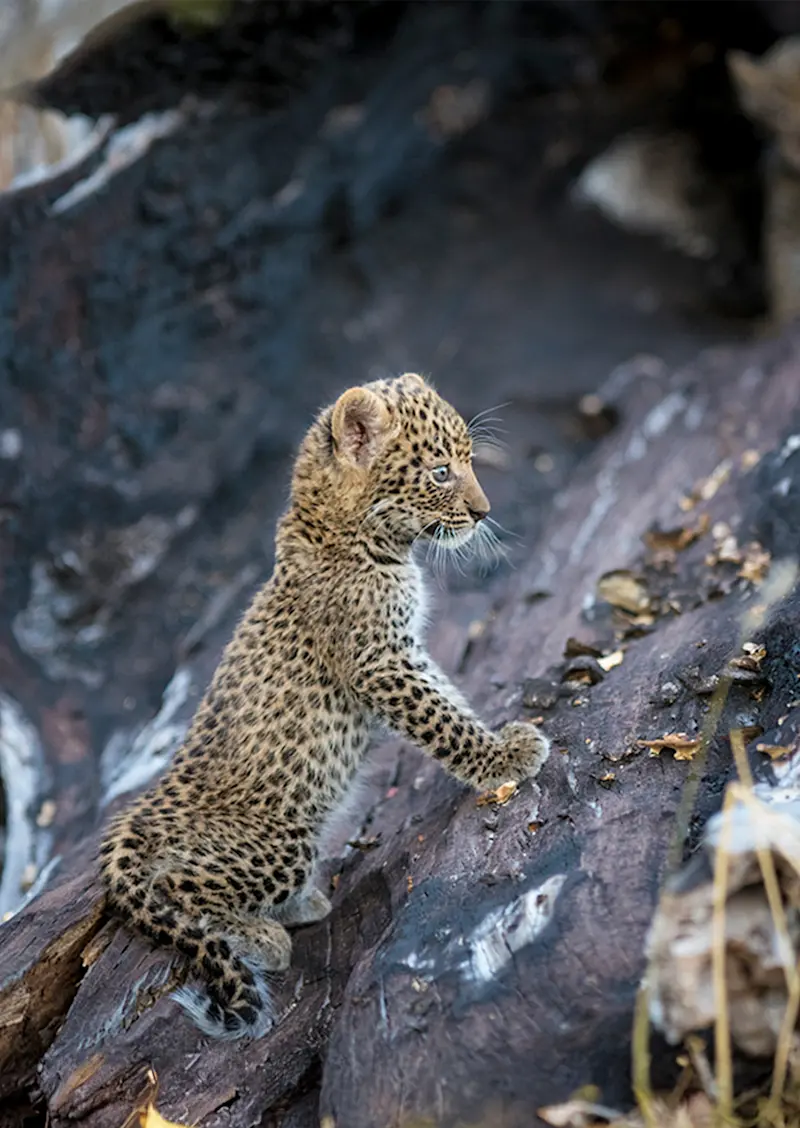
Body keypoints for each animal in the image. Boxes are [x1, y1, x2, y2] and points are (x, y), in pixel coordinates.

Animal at [100, 372, 550, 1041]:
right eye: (441, 471)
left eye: (472, 460)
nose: (484, 513)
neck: (354, 535)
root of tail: (139, 815)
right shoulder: (381, 663)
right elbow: (441, 719)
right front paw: (505, 758)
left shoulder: (405, 651)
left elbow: (448, 696)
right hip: (277, 843)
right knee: (179, 890)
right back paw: (264, 935)